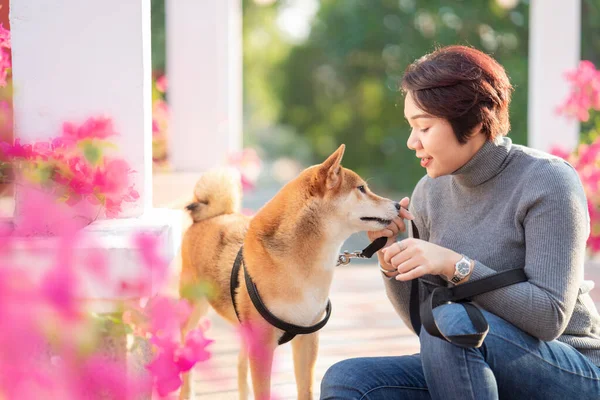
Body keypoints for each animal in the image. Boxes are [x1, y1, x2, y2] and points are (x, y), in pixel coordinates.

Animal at [179, 145, 404, 400]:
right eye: (362, 189)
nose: (398, 204)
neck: (303, 267)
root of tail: (212, 216)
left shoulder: (307, 339)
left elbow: (305, 390)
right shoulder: (263, 345)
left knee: (239, 364)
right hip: (194, 312)